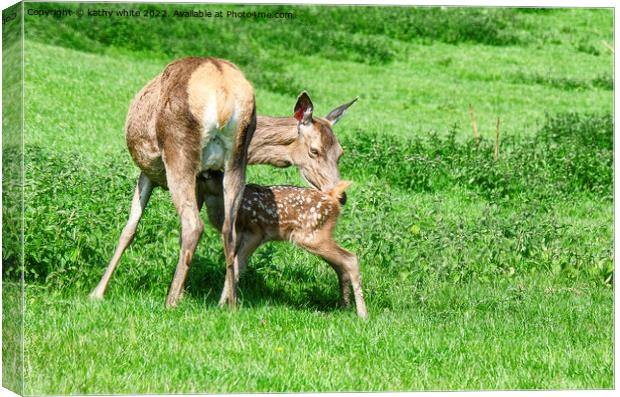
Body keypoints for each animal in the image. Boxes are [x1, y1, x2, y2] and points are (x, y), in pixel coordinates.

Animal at [89, 58, 356, 306]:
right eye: (315, 150)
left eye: (339, 153)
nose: (341, 196)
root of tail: (225, 98)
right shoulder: (201, 181)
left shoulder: (150, 172)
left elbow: (129, 229)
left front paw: (98, 292)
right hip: (236, 160)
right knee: (227, 229)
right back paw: (231, 304)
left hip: (179, 151)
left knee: (193, 226)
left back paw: (171, 302)